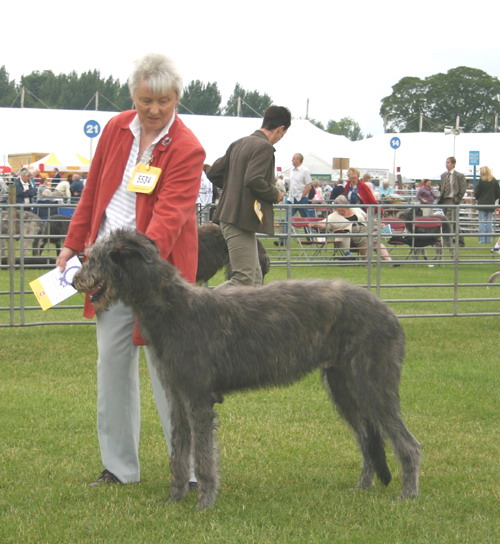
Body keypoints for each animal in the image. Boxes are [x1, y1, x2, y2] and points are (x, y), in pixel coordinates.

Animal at [72, 227, 420, 508]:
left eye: (94, 258)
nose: (74, 280)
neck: (172, 305)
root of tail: (388, 312)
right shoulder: (177, 395)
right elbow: (180, 452)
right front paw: (174, 499)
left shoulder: (198, 397)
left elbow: (204, 454)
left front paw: (204, 502)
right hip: (342, 387)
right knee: (367, 439)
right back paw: (362, 488)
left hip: (373, 382)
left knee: (408, 443)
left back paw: (408, 494)